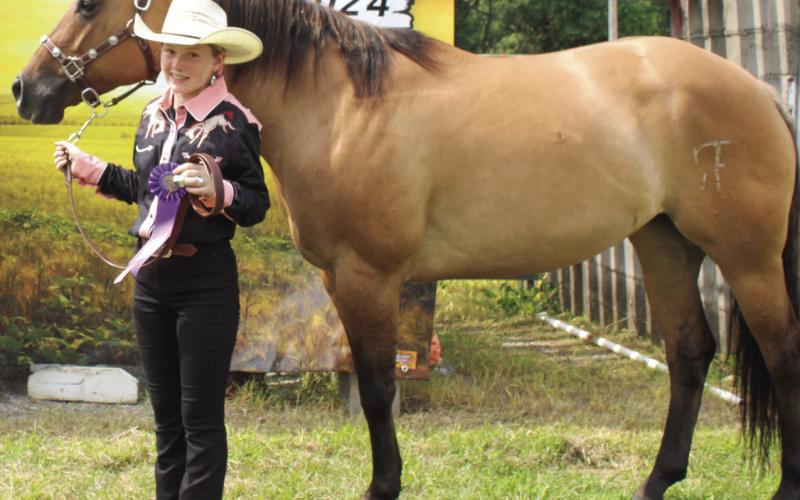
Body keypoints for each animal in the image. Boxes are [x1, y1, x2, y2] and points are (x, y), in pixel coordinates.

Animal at [13, 1, 800, 498]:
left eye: (88, 2)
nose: (27, 87)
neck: (342, 105)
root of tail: (757, 91)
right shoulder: (340, 280)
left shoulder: (372, 276)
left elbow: (377, 390)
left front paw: (382, 485)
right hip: (663, 243)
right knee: (690, 354)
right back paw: (656, 481)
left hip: (748, 258)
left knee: (782, 355)